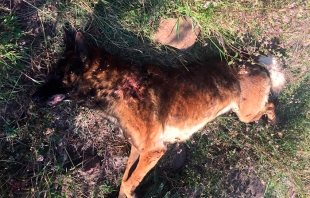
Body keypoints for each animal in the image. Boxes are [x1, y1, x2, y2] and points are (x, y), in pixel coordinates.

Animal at [33, 31, 286, 198]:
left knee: (271, 105)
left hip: (246, 113)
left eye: (58, 74)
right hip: (243, 112)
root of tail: (253, 63)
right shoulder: (137, 149)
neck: (117, 87)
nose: (33, 96)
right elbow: (125, 180)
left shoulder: (153, 151)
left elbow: (129, 183)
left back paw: (276, 125)